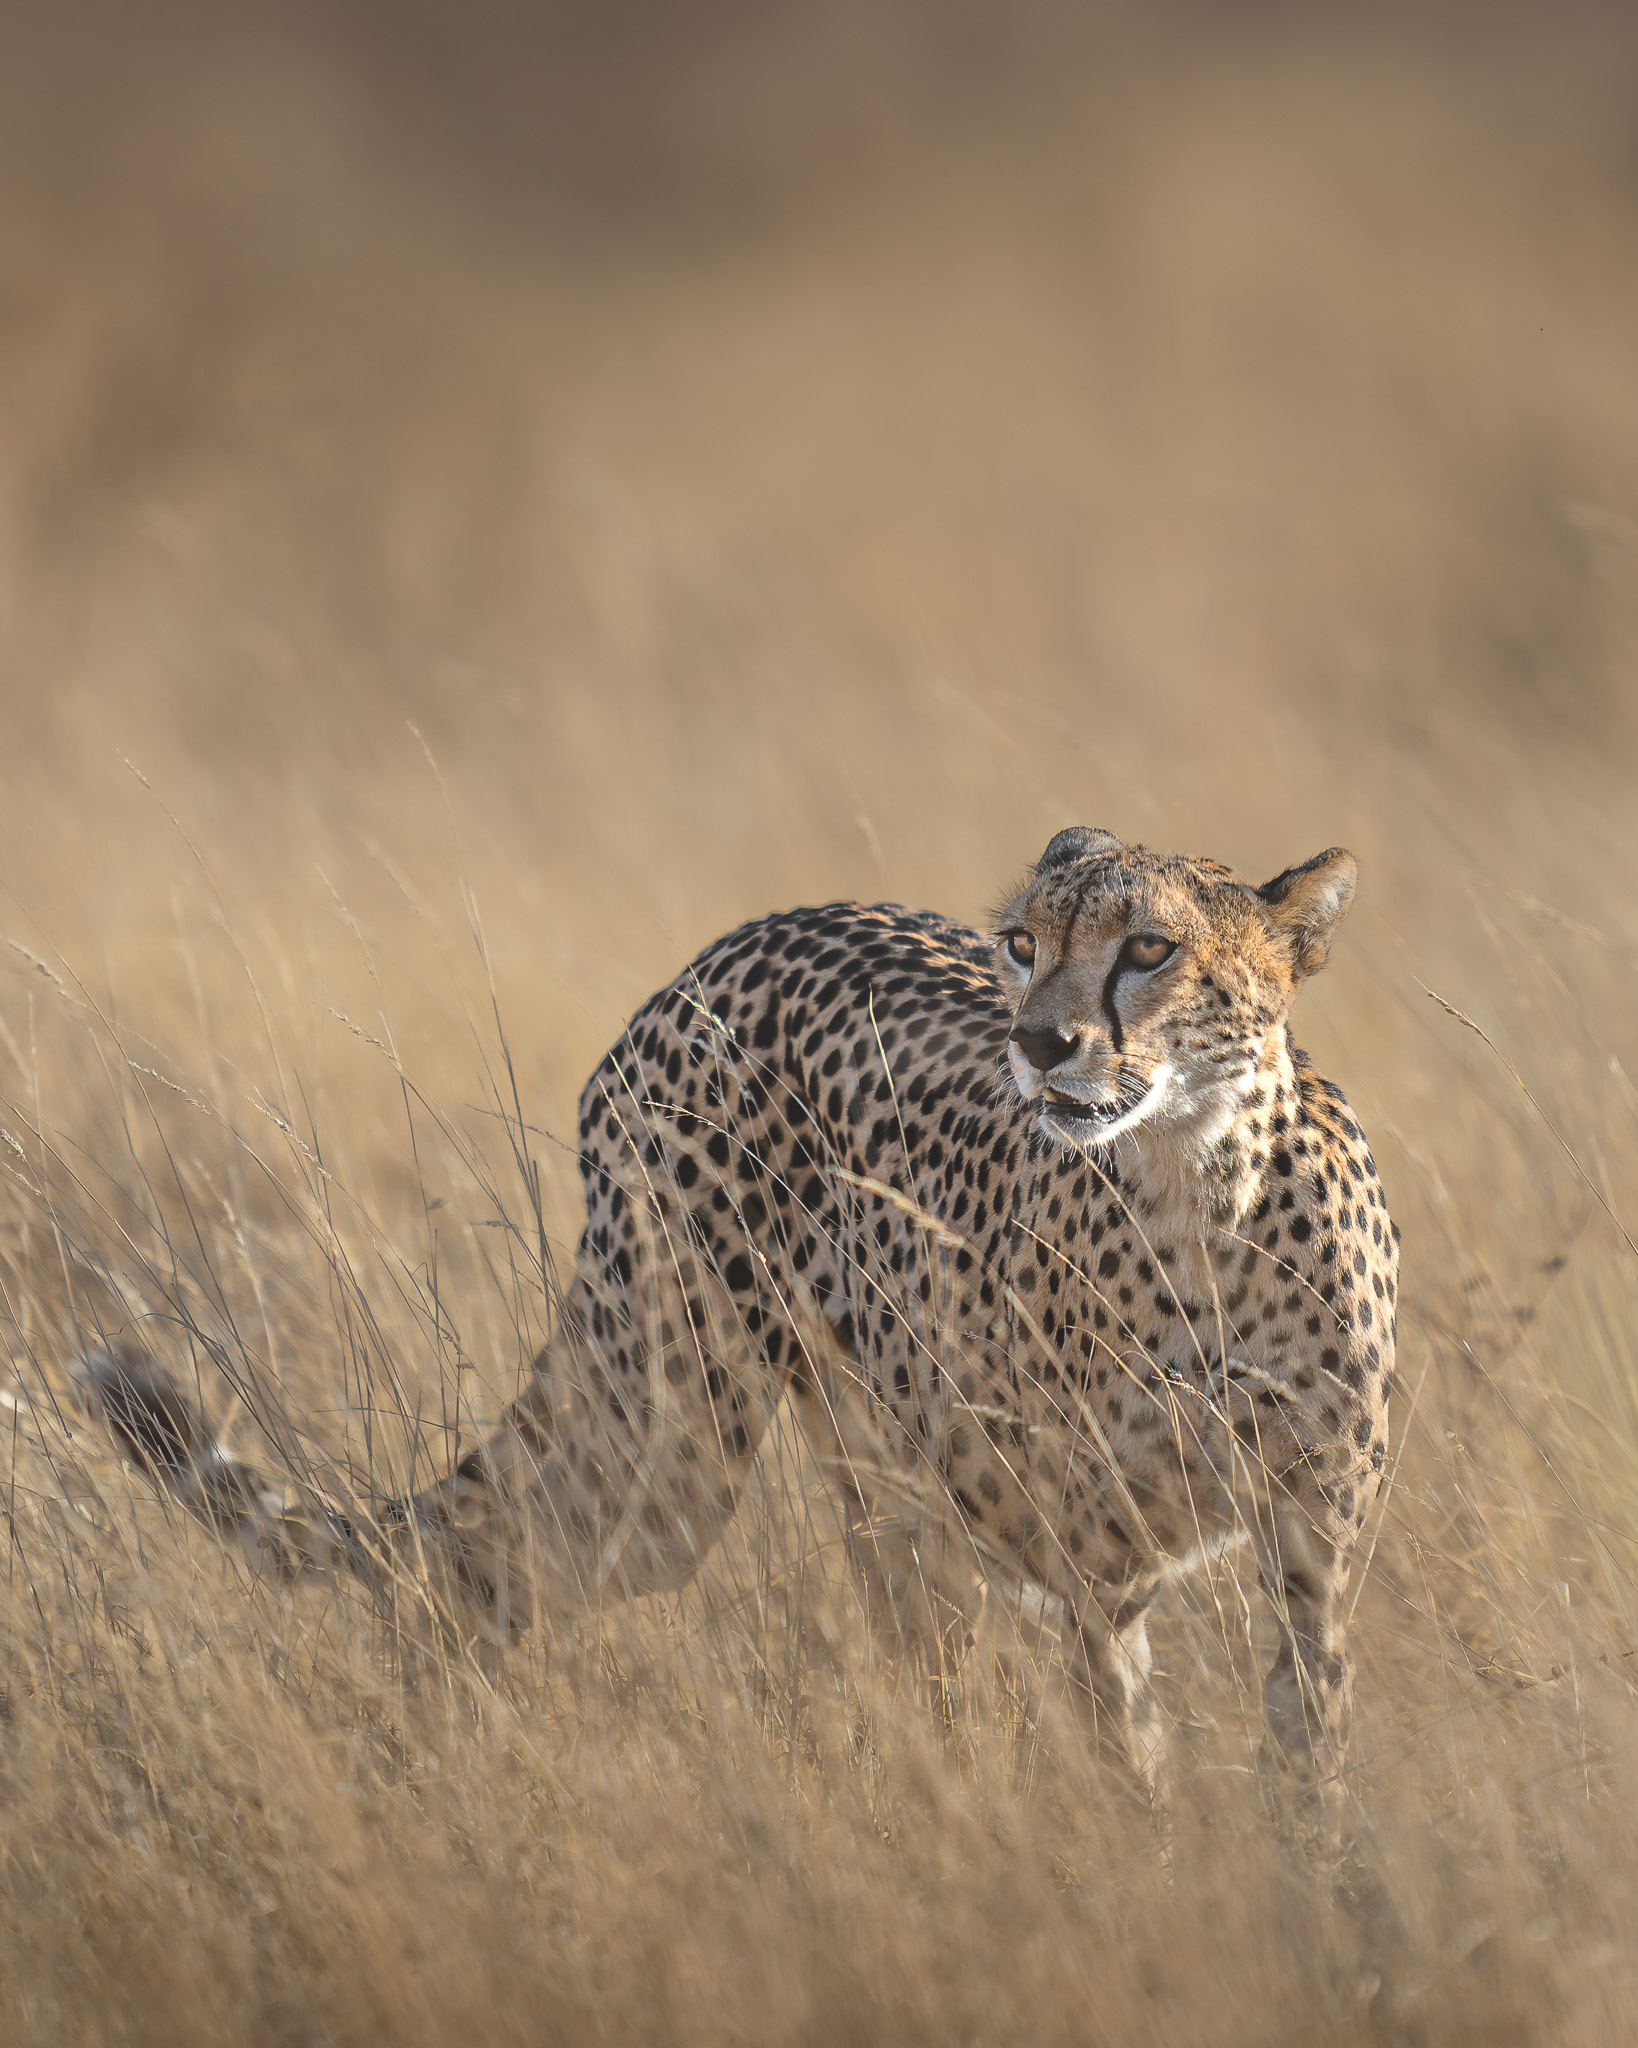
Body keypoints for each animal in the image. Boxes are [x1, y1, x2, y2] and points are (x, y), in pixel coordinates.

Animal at [76, 826, 1398, 1801]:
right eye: (1024, 943)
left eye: (1150, 948)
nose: (1038, 1040)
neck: (1197, 1189)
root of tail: (717, 954)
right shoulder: (1091, 1558)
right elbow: (1129, 1756)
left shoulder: (1313, 1540)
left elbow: (1311, 1750)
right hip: (671, 1450)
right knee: (478, 1556)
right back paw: (440, 1759)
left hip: (870, 1476)